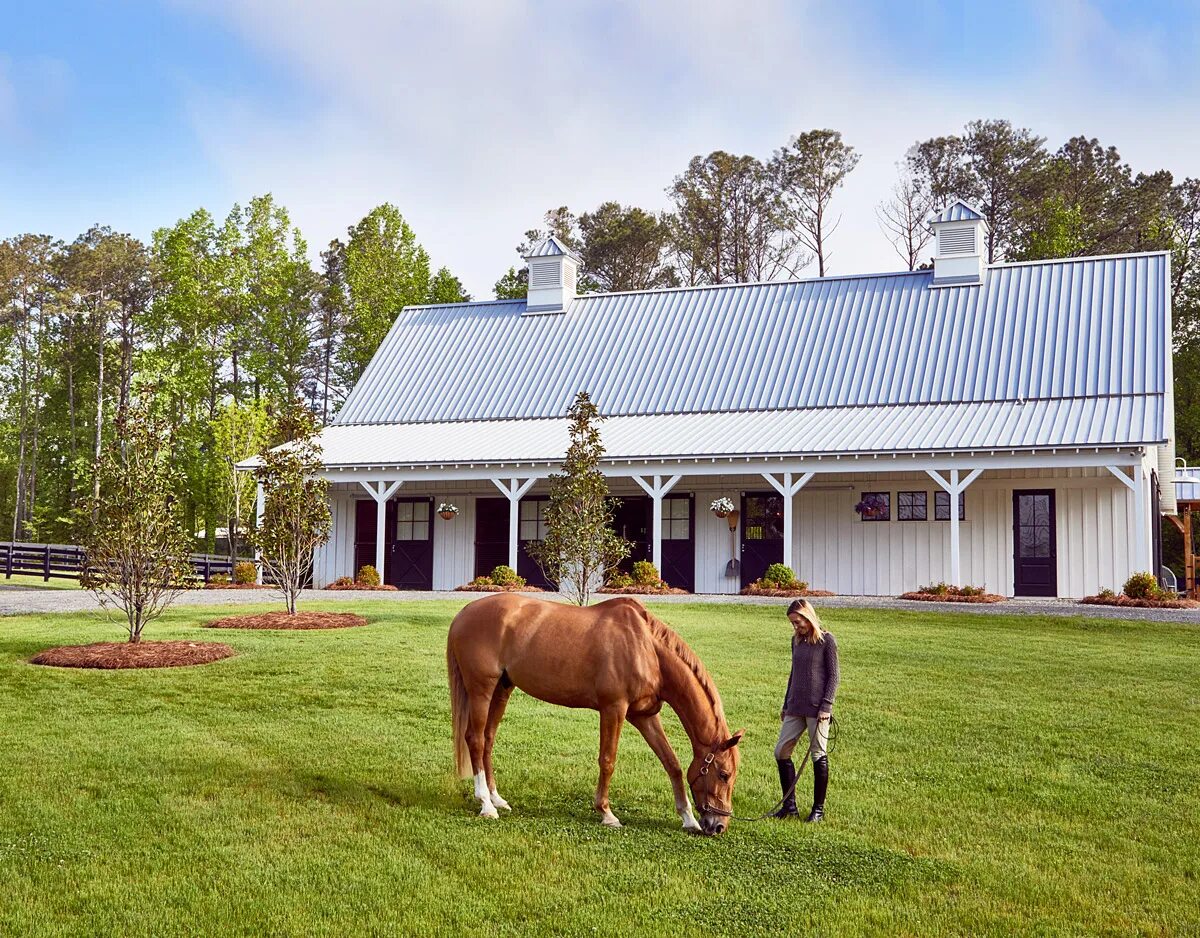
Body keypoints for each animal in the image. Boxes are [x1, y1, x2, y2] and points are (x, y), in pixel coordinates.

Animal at [446, 594, 739, 839]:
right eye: (724, 774)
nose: (719, 826)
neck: (646, 648)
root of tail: (464, 613)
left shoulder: (644, 716)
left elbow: (672, 763)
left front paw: (688, 819)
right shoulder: (614, 709)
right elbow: (607, 761)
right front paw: (606, 813)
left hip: (502, 689)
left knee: (488, 739)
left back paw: (497, 798)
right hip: (481, 689)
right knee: (475, 740)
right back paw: (486, 804)